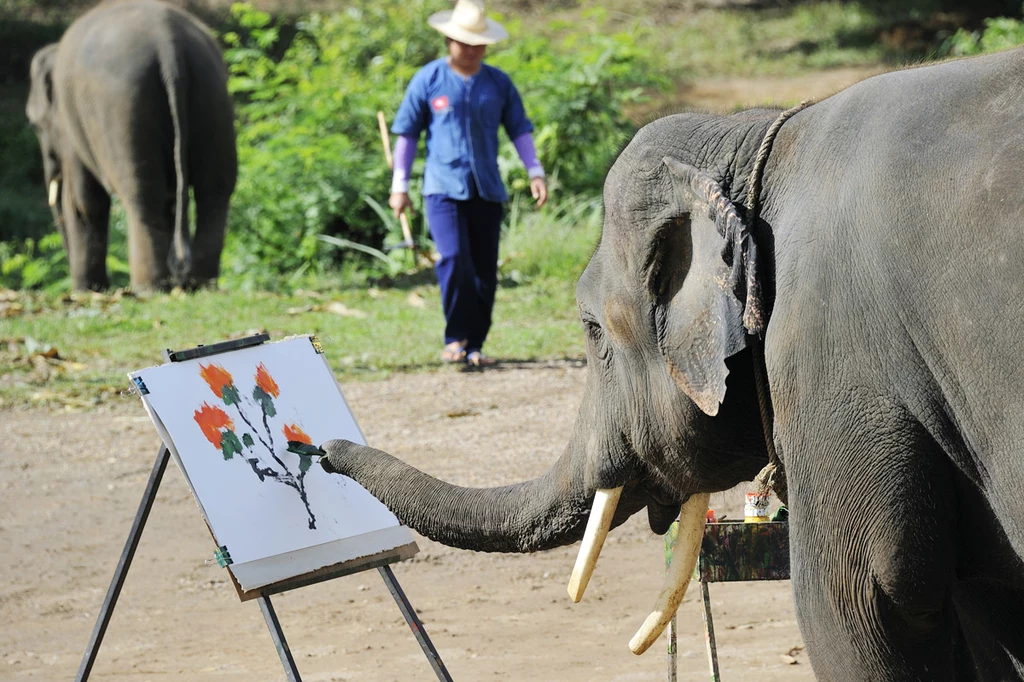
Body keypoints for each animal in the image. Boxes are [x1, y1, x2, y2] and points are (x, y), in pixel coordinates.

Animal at [27, 0, 237, 288]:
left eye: (35, 124)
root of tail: (168, 42)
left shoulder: (70, 130)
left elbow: (83, 201)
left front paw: (87, 290)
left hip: (125, 107)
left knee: (142, 193)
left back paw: (148, 287)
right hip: (212, 93)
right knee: (213, 190)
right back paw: (197, 283)